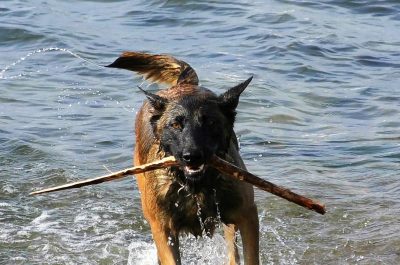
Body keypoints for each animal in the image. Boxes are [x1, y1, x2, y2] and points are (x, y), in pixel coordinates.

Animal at [107, 52, 260, 264]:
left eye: (210, 123)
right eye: (176, 125)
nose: (192, 156)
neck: (196, 187)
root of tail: (182, 85)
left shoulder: (247, 215)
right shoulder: (163, 230)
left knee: (232, 250)